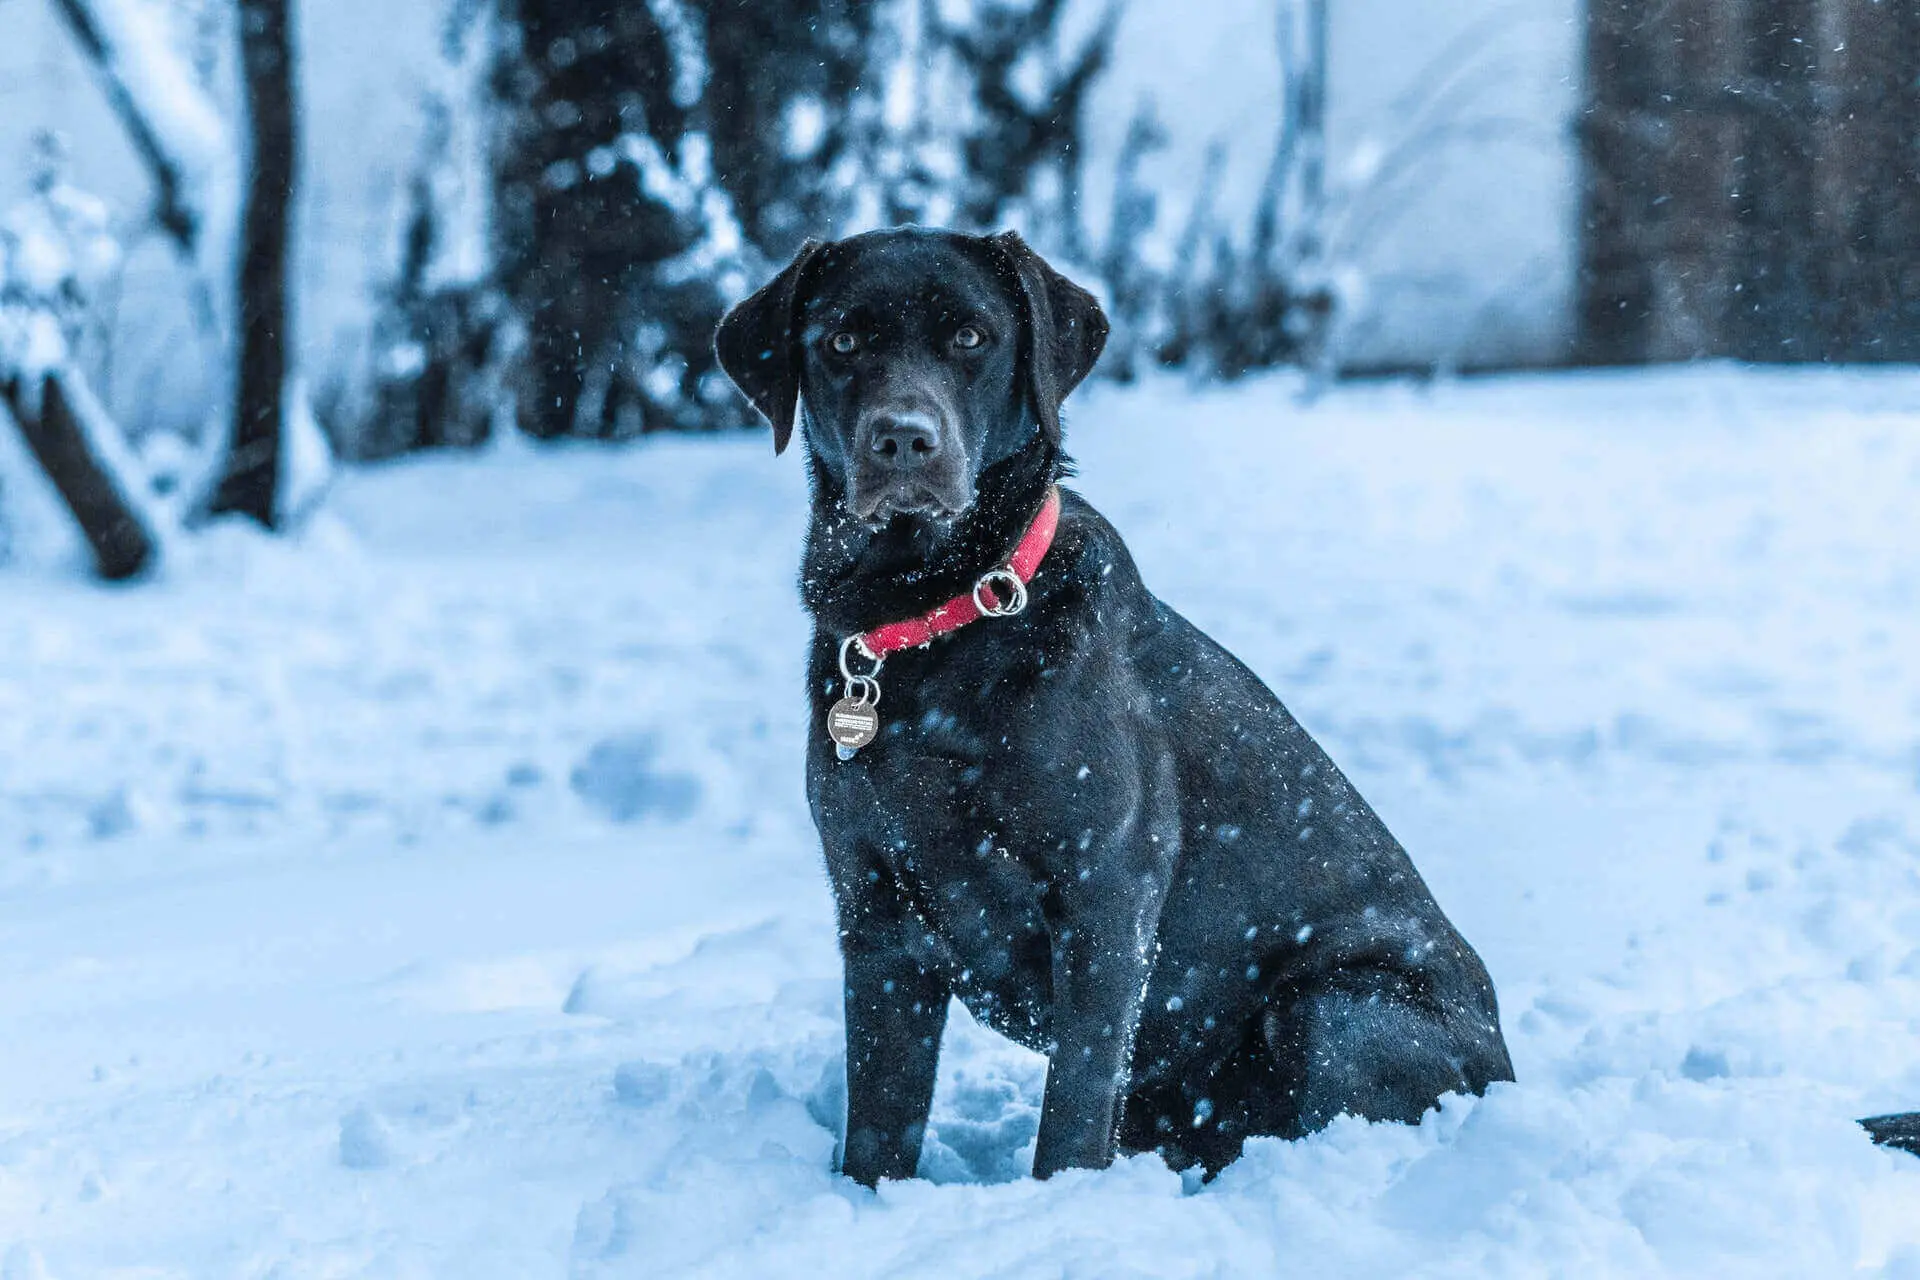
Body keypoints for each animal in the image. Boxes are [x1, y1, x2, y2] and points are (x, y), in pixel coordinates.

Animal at [718, 225, 1512, 1189]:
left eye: (971, 337)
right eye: (841, 341)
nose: (904, 440)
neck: (934, 616)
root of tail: (1508, 1063)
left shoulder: (1106, 896)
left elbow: (1073, 1108)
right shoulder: (872, 910)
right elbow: (878, 1118)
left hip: (1339, 1006)